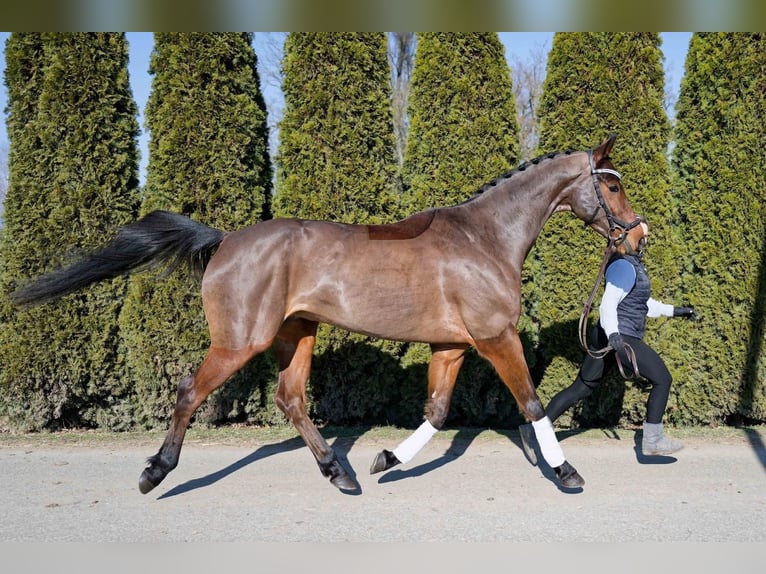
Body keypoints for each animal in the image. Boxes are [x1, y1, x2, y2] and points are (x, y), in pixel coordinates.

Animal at [12, 133, 645, 493]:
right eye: (611, 187)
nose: (637, 236)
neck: (485, 239)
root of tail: (225, 241)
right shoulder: (494, 337)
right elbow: (532, 403)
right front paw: (566, 473)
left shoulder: (452, 345)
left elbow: (438, 412)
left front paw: (386, 459)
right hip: (241, 340)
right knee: (191, 391)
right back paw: (154, 473)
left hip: (298, 333)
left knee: (291, 399)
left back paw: (340, 473)